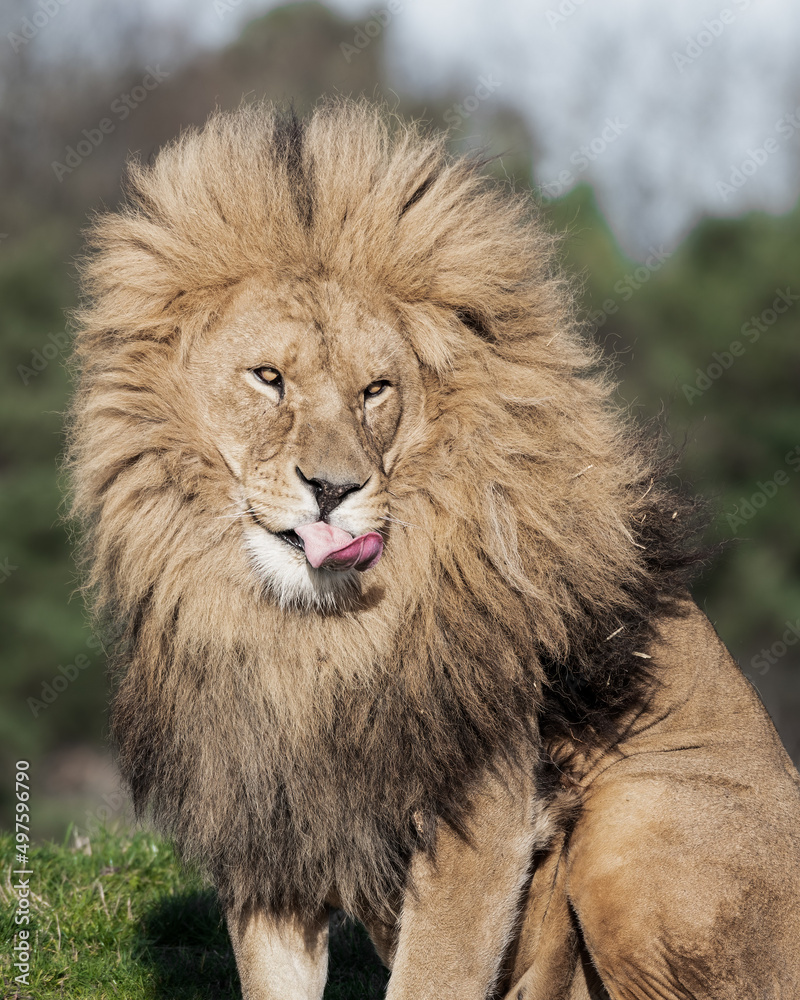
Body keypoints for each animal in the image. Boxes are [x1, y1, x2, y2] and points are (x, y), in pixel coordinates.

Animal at [69, 103, 800, 1000]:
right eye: (268, 378)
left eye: (376, 390)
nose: (334, 488)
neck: (308, 637)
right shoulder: (270, 828)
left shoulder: (483, 816)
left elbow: (433, 978)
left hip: (637, 814)